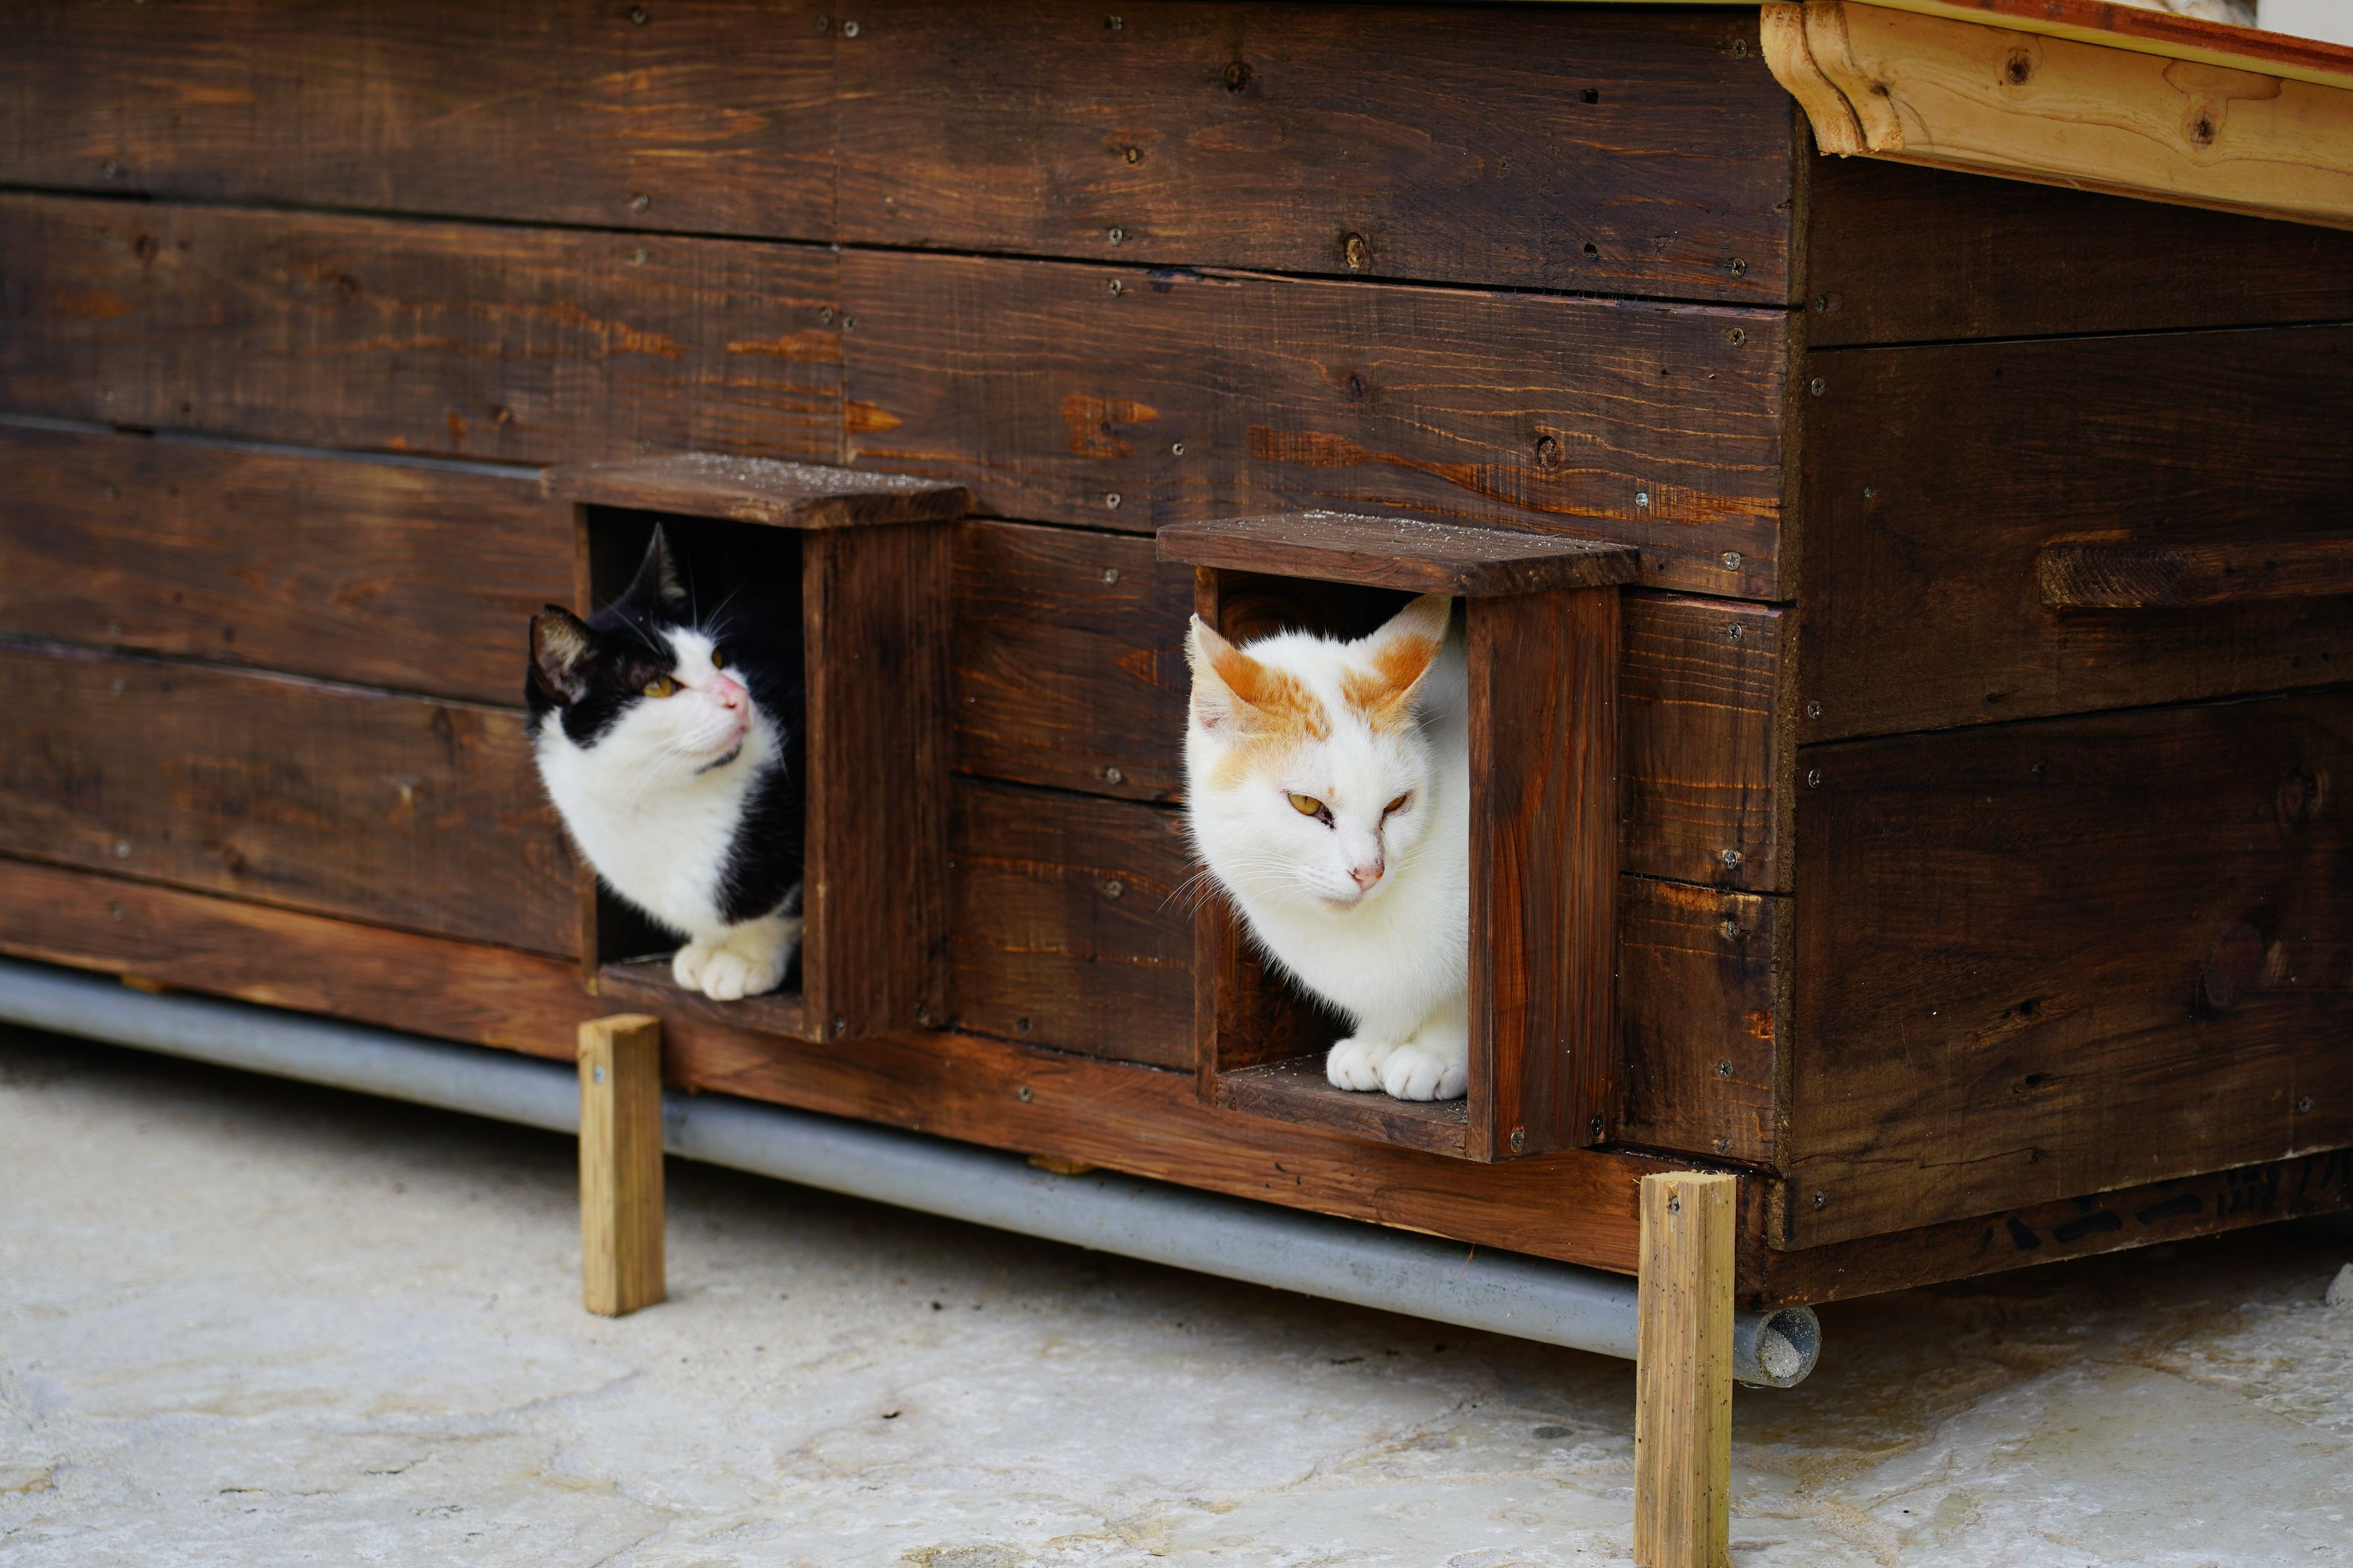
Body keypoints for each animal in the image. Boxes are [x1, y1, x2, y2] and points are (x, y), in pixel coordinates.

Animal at [526, 526, 805, 1001]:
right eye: (659, 685)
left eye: (718, 659)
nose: (738, 695)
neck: (658, 798)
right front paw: (709, 948)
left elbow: (774, 911)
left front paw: (745, 958)